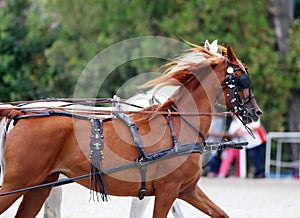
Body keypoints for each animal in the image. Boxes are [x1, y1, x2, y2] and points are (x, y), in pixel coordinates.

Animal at [0, 43, 262, 216]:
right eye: (242, 78)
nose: (256, 112)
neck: (178, 125)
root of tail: (22, 114)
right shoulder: (167, 191)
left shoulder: (187, 190)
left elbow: (221, 213)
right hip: (18, 183)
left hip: (40, 186)